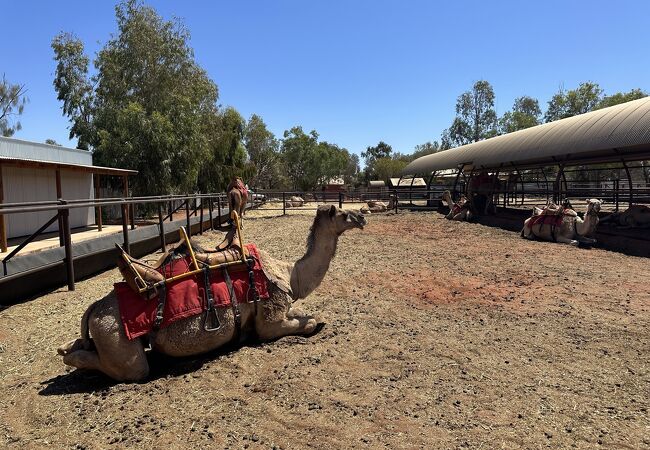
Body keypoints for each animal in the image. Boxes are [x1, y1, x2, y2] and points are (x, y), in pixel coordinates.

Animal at [57, 206, 364, 382]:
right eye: (341, 213)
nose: (362, 217)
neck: (289, 273)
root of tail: (95, 309)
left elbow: (303, 313)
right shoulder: (269, 320)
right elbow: (307, 323)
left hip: (102, 331)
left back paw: (66, 346)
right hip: (118, 338)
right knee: (132, 369)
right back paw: (68, 356)